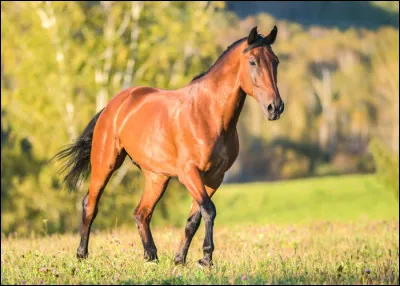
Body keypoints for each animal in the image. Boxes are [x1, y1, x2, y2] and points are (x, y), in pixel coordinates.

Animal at [54, 25, 284, 268]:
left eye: (275, 61)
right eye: (252, 61)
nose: (275, 107)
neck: (208, 114)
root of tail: (112, 105)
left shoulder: (214, 178)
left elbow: (194, 218)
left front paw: (180, 259)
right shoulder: (189, 173)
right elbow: (209, 210)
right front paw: (206, 258)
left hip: (157, 177)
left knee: (141, 213)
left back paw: (151, 256)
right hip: (105, 164)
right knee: (90, 204)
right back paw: (82, 255)